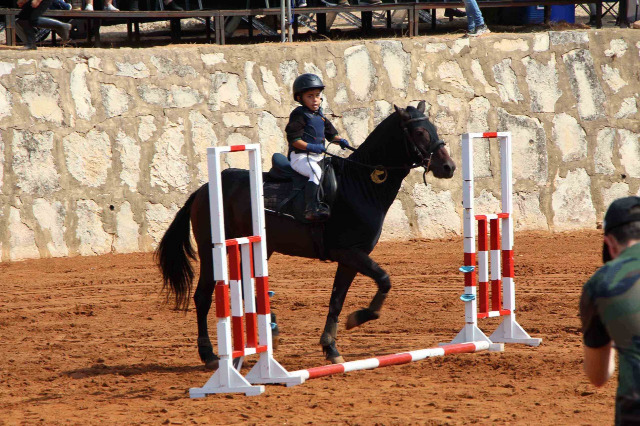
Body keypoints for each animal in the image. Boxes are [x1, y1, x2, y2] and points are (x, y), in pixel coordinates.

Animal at [155, 100, 456, 370]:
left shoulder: (351, 258)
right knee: (203, 296)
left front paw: (331, 347)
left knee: (246, 290)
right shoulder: (349, 252)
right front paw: (357, 318)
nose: (448, 167)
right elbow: (384, 279)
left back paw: (272, 327)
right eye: (420, 132)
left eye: (434, 128)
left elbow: (337, 300)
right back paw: (209, 355)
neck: (360, 185)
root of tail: (203, 189)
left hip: (258, 248)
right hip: (212, 250)